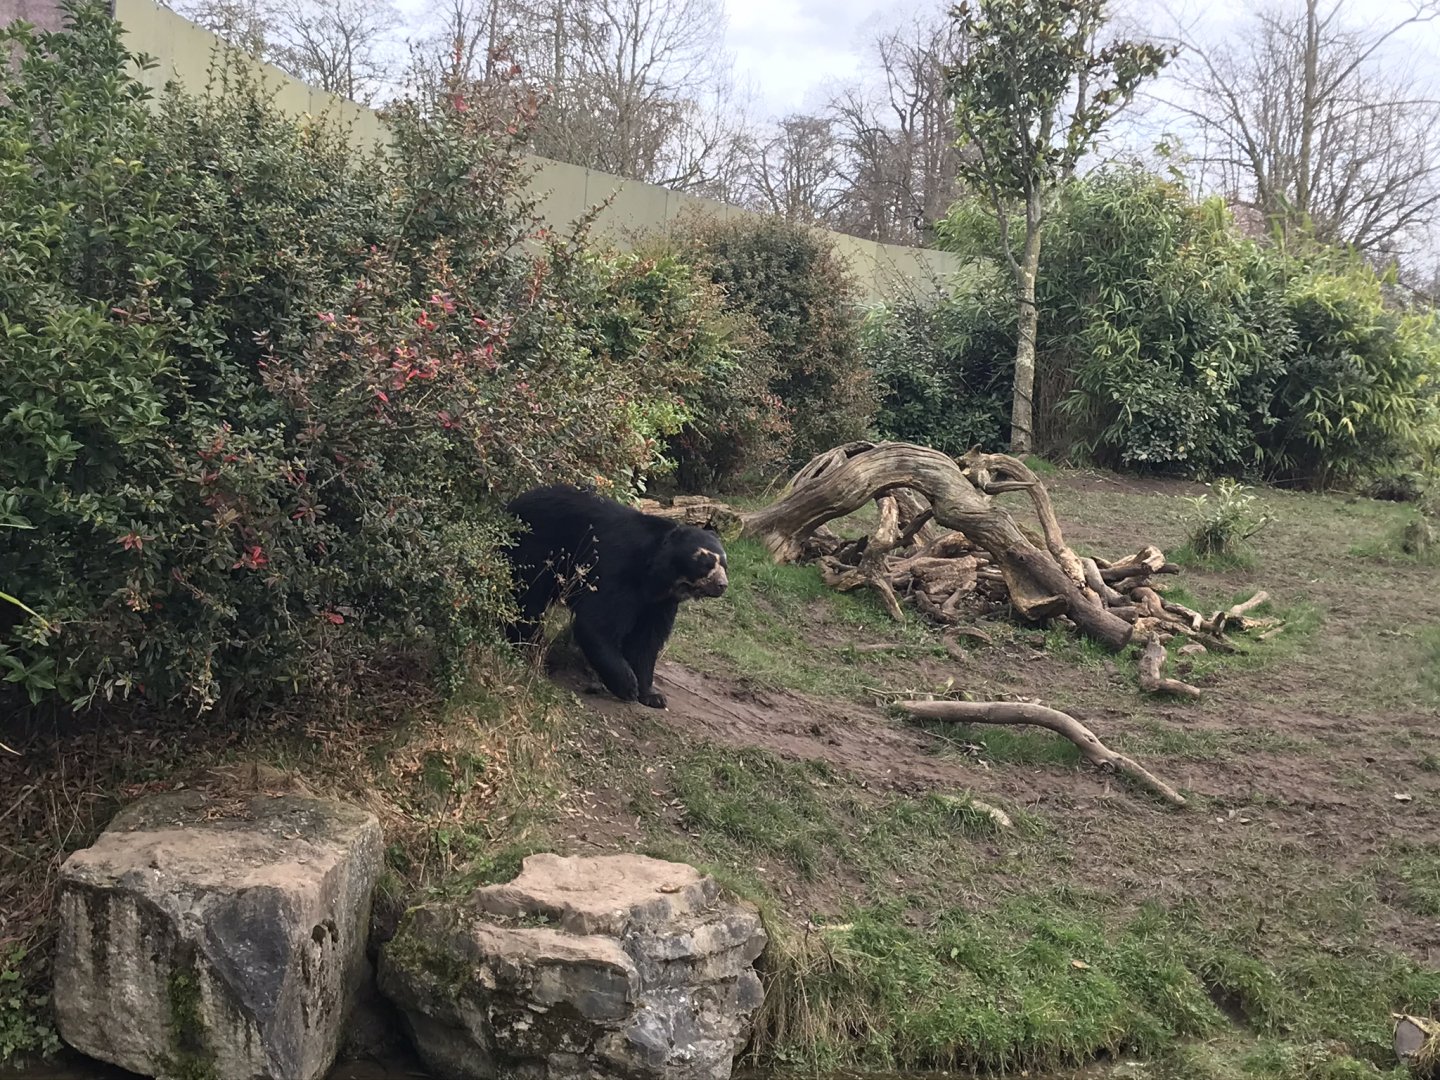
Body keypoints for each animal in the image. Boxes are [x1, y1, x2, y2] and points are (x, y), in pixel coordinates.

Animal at [502, 483, 729, 708]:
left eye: (725, 565)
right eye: (706, 562)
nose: (722, 585)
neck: (656, 576)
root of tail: (512, 505)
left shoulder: (660, 602)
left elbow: (646, 640)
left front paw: (653, 696)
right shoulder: (617, 568)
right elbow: (598, 623)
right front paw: (628, 686)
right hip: (534, 551)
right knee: (527, 601)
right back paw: (529, 650)